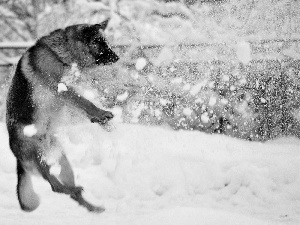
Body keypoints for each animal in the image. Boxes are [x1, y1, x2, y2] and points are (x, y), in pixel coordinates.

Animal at [5, 19, 118, 213]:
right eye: (99, 42)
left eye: (106, 41)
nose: (117, 57)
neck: (61, 54)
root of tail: (17, 157)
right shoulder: (62, 90)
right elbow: (83, 101)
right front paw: (101, 114)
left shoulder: (66, 96)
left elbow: (82, 105)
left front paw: (101, 120)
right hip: (37, 154)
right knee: (54, 186)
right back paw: (71, 190)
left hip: (64, 162)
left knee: (68, 190)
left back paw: (92, 207)